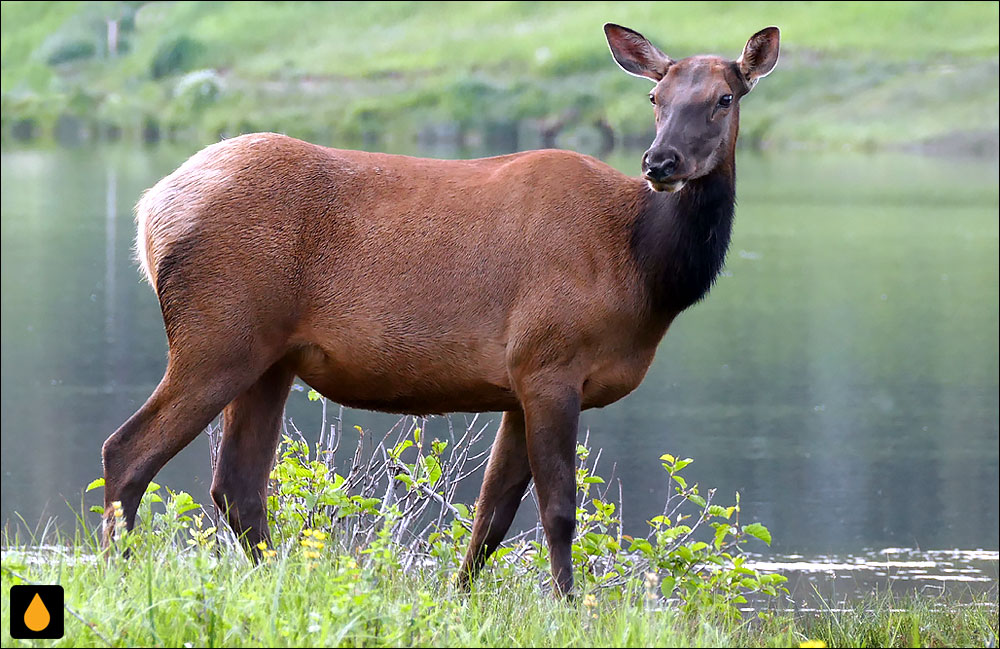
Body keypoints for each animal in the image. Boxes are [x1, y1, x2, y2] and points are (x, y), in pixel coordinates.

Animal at [103, 24, 780, 592]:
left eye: (724, 97)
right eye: (655, 98)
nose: (660, 162)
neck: (643, 268)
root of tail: (150, 210)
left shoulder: (518, 384)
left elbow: (492, 516)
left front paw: (460, 599)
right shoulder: (550, 362)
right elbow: (558, 511)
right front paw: (569, 607)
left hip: (270, 360)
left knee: (237, 485)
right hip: (218, 335)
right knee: (127, 451)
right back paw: (119, 571)